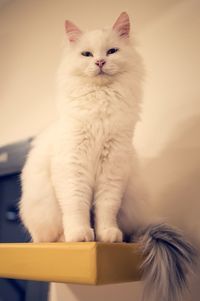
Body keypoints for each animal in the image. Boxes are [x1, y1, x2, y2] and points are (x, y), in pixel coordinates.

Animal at [19, 12, 195, 300]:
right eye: (86, 54)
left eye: (111, 51)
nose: (100, 62)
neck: (101, 106)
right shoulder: (74, 167)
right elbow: (77, 206)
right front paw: (80, 235)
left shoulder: (113, 168)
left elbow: (105, 209)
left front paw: (106, 235)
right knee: (46, 237)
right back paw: (64, 238)